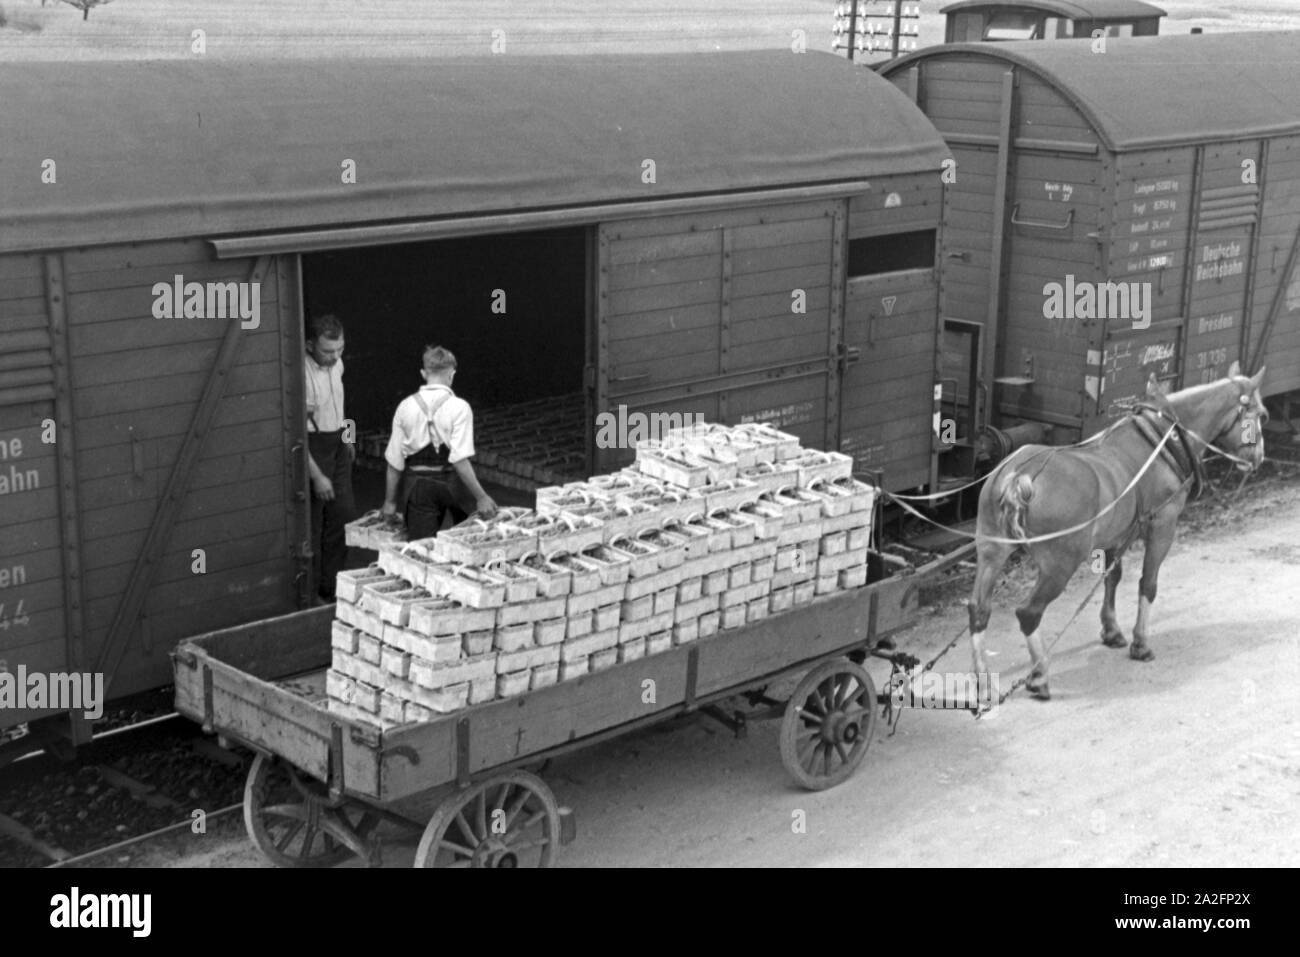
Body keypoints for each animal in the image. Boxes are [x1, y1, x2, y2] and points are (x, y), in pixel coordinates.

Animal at [972, 361, 1263, 696]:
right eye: (1261, 413)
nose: (1259, 457)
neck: (1163, 440)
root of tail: (1019, 476)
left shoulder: (1114, 535)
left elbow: (1113, 577)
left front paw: (1111, 630)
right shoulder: (1163, 526)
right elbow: (1148, 584)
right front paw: (1141, 643)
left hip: (992, 551)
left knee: (978, 609)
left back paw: (983, 680)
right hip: (1060, 564)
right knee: (1028, 612)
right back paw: (1039, 675)